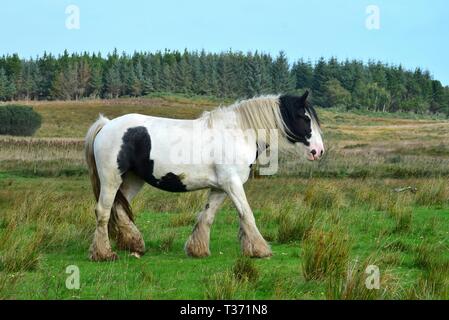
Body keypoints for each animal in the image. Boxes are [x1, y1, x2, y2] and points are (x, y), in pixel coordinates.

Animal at [84, 90, 322, 260]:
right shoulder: (232, 184)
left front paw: (197, 249)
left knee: (119, 208)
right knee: (103, 211)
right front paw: (260, 249)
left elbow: (207, 216)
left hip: (133, 180)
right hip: (111, 179)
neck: (238, 132)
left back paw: (134, 244)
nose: (318, 151)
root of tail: (106, 125)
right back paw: (103, 254)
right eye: (304, 118)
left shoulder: (220, 187)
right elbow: (247, 214)